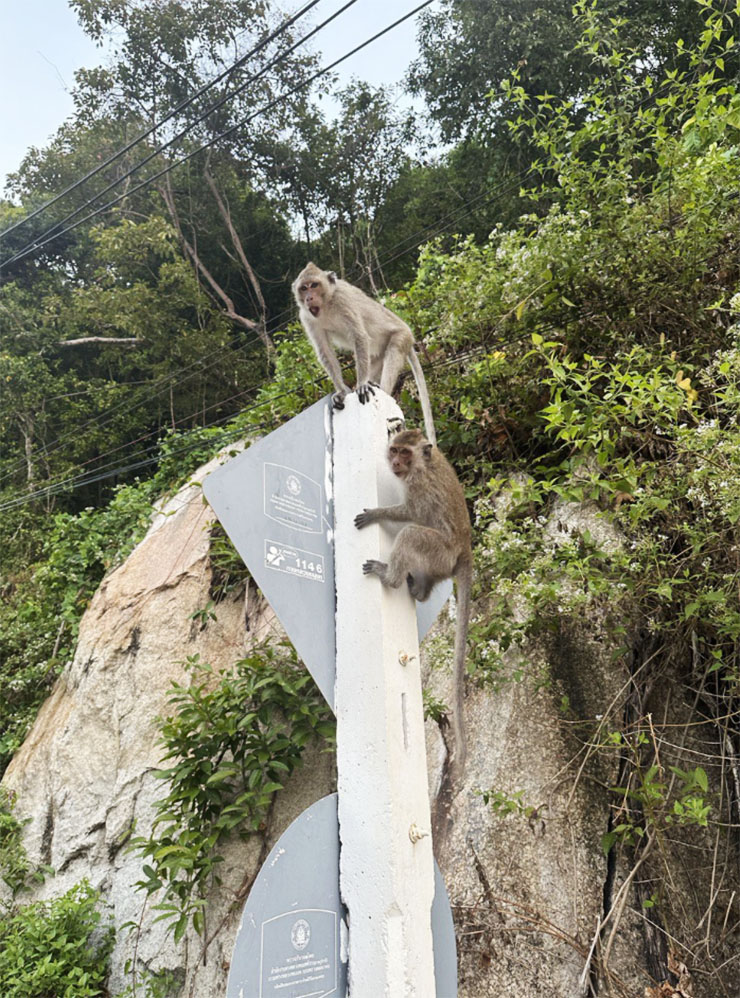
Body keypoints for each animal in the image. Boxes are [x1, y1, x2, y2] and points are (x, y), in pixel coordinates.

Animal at [292, 262, 436, 446]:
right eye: (303, 288)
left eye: (314, 285)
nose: (309, 298)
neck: (327, 304)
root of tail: (410, 336)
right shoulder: (306, 317)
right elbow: (325, 351)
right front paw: (342, 391)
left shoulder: (343, 301)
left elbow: (359, 336)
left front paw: (361, 385)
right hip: (377, 355)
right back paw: (372, 383)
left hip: (402, 336)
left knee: (394, 349)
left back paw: (381, 389)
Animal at [354, 430, 472, 772]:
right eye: (394, 450)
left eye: (404, 453)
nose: (394, 462)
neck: (423, 463)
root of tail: (464, 550)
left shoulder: (418, 484)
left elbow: (414, 514)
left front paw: (378, 514)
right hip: (439, 561)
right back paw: (421, 590)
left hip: (438, 550)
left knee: (410, 534)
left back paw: (390, 577)